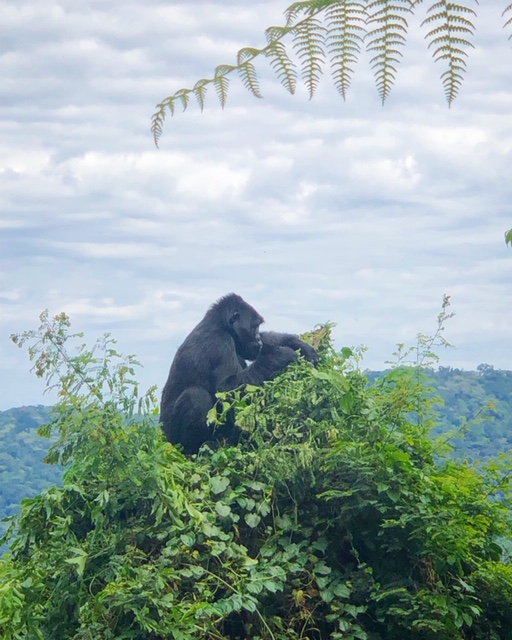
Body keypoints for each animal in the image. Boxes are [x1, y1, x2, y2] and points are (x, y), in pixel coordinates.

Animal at [162, 296, 318, 456]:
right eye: (254, 327)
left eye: (258, 328)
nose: (258, 339)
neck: (221, 325)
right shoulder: (220, 342)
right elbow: (226, 390)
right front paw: (279, 357)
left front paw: (296, 343)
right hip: (171, 438)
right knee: (195, 396)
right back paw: (192, 451)